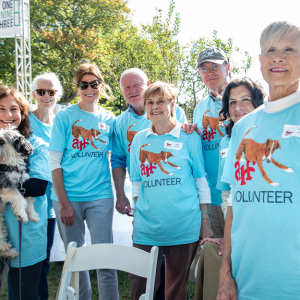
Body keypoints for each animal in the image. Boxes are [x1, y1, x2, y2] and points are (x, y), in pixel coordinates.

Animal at [0, 129, 39, 260]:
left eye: (1, 141)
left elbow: (29, 200)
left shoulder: (23, 183)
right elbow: (19, 198)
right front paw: (22, 214)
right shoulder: (6, 184)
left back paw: (10, 251)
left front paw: (33, 215)